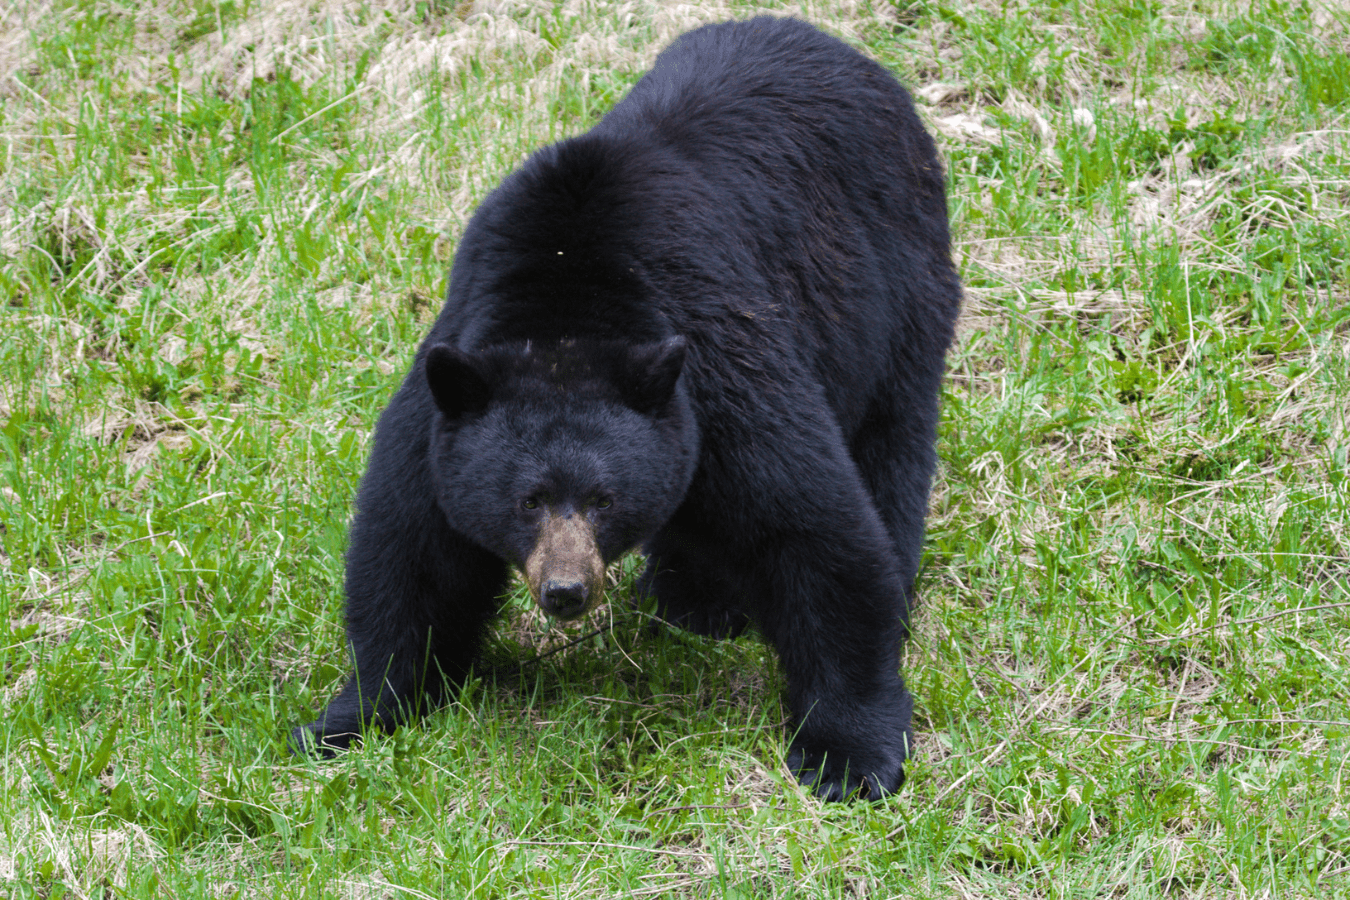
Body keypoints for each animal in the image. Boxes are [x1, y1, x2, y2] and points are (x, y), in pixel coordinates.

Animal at [294, 15, 961, 804]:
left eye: (603, 498)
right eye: (527, 501)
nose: (565, 591)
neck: (567, 301)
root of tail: (837, 46)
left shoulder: (718, 367)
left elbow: (811, 529)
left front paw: (849, 755)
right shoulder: (445, 401)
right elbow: (414, 555)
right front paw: (351, 718)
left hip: (900, 282)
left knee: (892, 439)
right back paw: (691, 600)